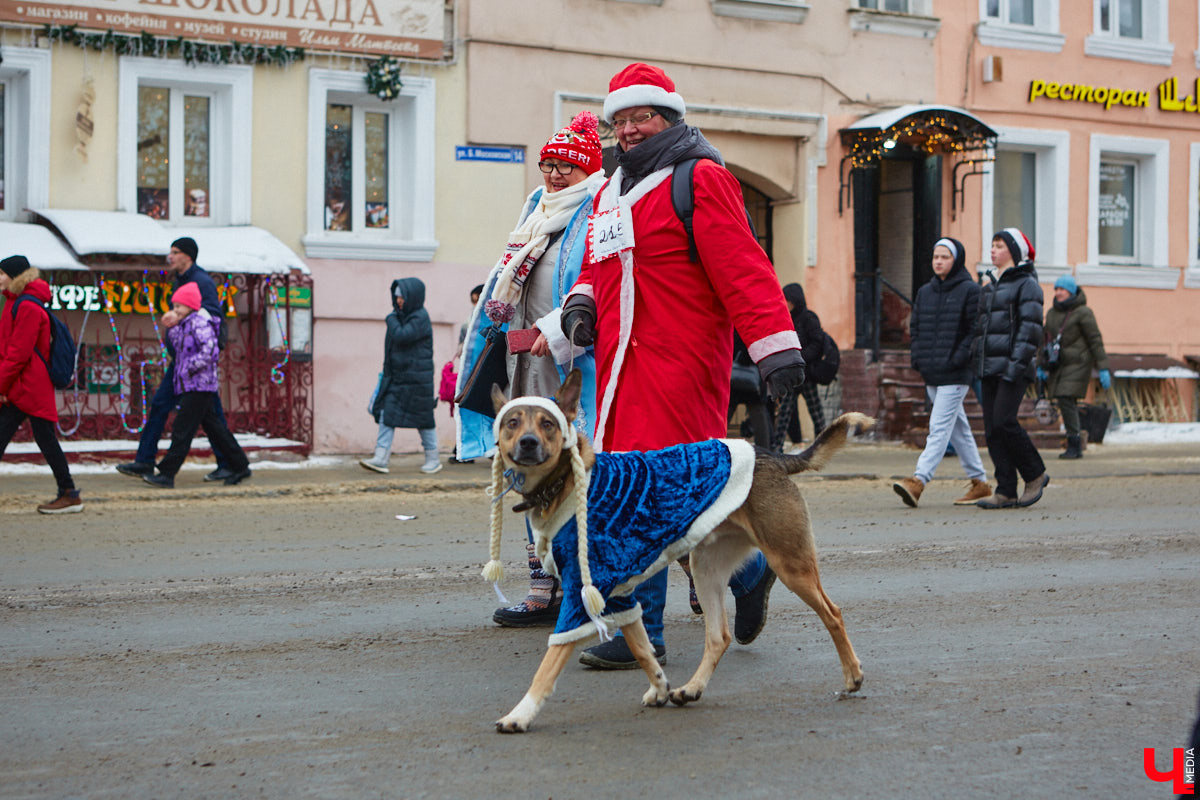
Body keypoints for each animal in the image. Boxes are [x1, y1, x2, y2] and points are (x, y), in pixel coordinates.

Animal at [487, 369, 873, 734]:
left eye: (547, 423)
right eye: (512, 422)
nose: (528, 443)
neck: (567, 481)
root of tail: (772, 455)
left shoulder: (583, 595)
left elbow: (548, 666)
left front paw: (520, 715)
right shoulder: (619, 596)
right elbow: (643, 650)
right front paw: (659, 687)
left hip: (791, 564)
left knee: (833, 614)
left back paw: (852, 675)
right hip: (706, 570)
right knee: (719, 636)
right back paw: (692, 688)